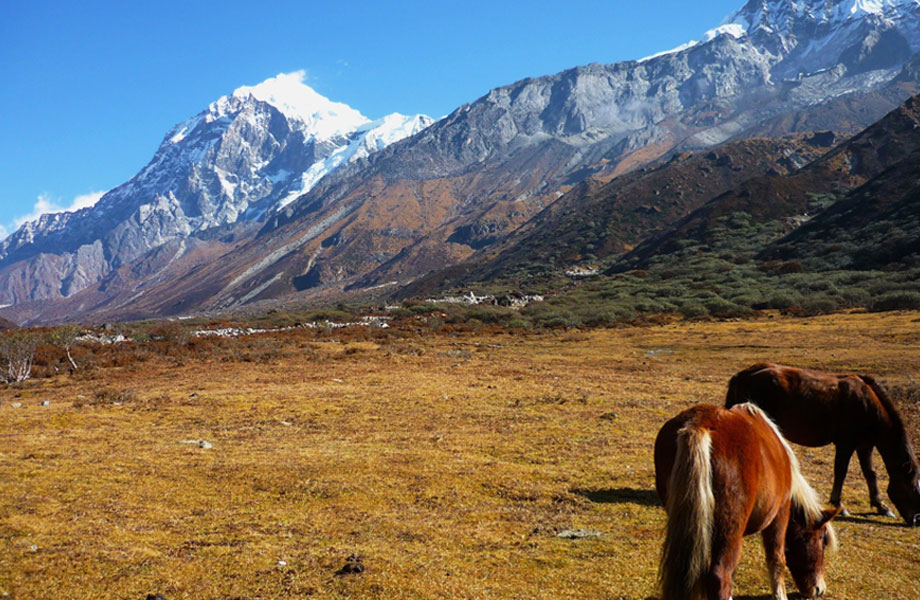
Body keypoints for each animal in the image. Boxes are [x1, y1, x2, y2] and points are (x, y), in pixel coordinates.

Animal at [652, 404, 836, 600]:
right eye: (823, 540)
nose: (819, 589)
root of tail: (700, 423)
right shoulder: (780, 515)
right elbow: (777, 559)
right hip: (730, 531)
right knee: (720, 576)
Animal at [724, 360, 920, 524]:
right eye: (912, 486)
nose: (916, 520)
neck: (869, 405)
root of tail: (745, 374)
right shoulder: (845, 444)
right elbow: (841, 472)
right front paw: (839, 505)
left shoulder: (865, 446)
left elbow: (870, 474)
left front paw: (881, 506)